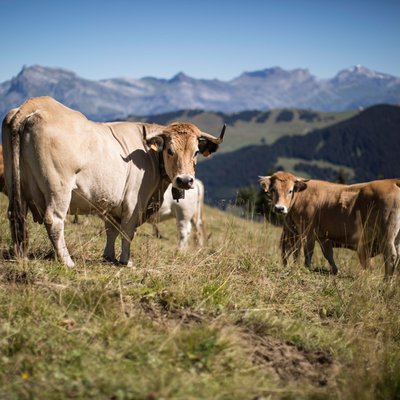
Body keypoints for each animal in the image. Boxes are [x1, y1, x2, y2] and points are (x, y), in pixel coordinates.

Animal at [0, 95, 225, 268]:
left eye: (196, 152)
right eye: (170, 150)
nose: (185, 180)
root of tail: (33, 105)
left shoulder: (114, 204)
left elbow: (112, 230)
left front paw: (109, 256)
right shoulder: (134, 203)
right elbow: (127, 232)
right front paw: (126, 261)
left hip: (16, 185)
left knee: (15, 216)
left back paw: (20, 254)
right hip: (59, 188)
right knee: (54, 220)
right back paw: (67, 261)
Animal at [258, 171, 400, 278]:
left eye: (290, 190)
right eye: (273, 189)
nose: (279, 208)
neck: (301, 197)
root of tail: (392, 182)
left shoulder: (309, 230)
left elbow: (308, 250)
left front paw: (307, 267)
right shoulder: (323, 235)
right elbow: (328, 253)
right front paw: (335, 270)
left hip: (386, 235)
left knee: (391, 256)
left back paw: (386, 281)